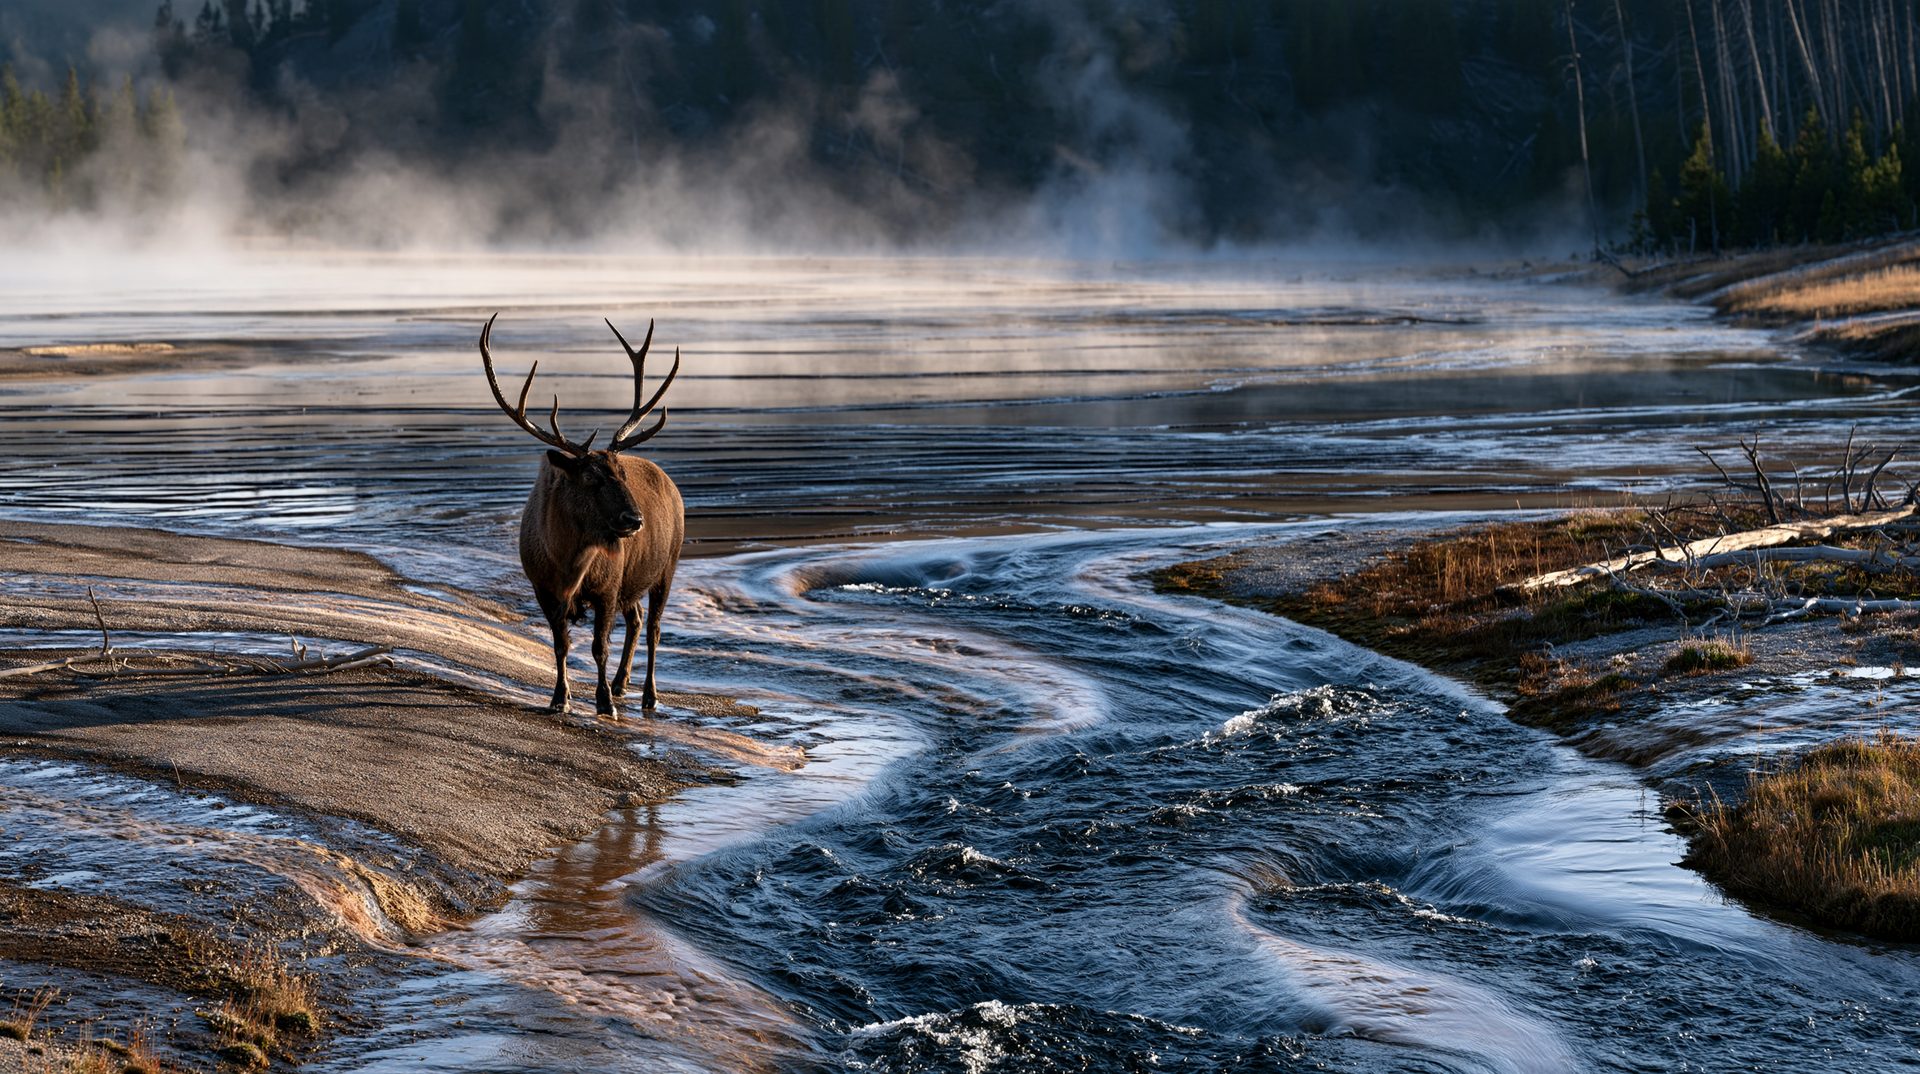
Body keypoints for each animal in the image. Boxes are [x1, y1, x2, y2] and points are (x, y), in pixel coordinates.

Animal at [479, 313, 685, 718]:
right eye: (590, 478)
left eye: (623, 474)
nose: (635, 520)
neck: (568, 562)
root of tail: (672, 485)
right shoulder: (542, 587)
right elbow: (560, 644)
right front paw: (560, 697)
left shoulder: (607, 586)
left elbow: (598, 647)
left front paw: (603, 703)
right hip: (633, 579)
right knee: (637, 619)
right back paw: (622, 684)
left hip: (668, 563)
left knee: (654, 628)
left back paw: (648, 695)